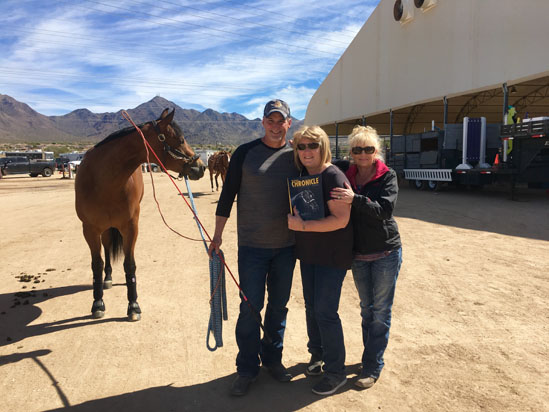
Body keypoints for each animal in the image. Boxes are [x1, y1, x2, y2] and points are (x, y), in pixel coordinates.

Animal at [75, 108, 206, 320]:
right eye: (180, 139)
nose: (201, 166)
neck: (103, 182)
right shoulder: (90, 230)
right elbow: (97, 264)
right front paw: (98, 303)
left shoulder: (131, 227)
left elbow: (130, 264)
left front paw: (133, 305)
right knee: (107, 249)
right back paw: (108, 277)